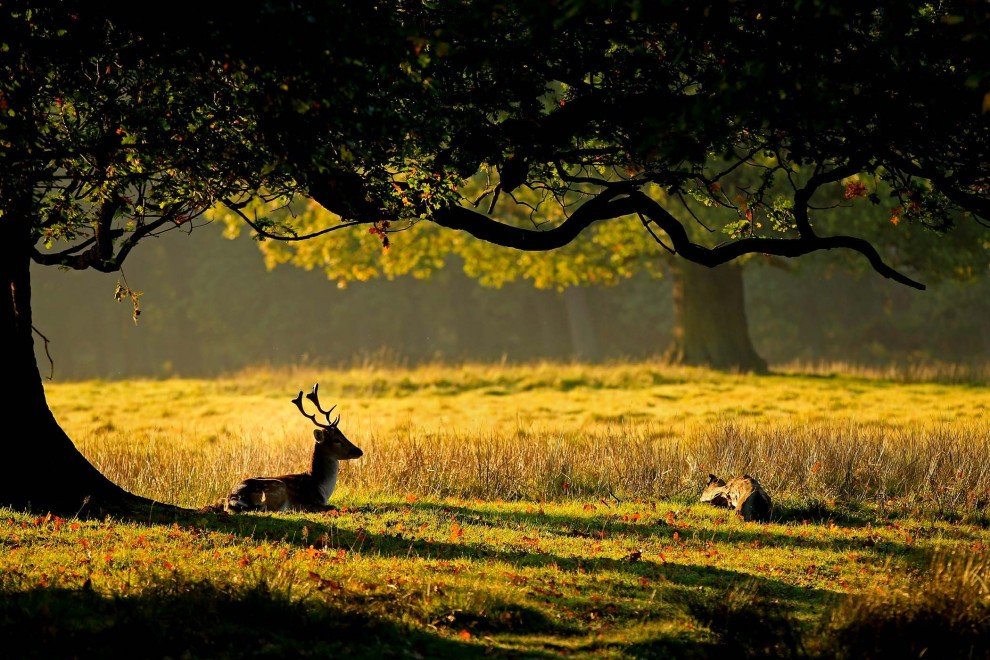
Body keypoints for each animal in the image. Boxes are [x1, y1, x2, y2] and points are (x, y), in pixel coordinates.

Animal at [223, 384, 363, 513]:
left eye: (342, 434)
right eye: (336, 440)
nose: (359, 451)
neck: (320, 488)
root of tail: (233, 499)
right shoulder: (309, 501)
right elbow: (332, 506)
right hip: (278, 488)